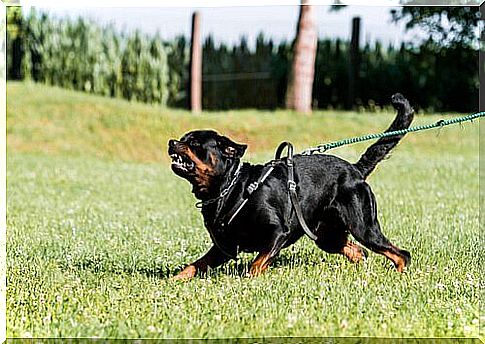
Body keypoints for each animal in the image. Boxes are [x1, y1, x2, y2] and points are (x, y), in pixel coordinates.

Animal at [168, 92, 414, 280]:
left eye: (194, 143)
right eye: (182, 138)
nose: (172, 142)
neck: (230, 188)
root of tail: (356, 170)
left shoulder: (278, 233)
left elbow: (256, 264)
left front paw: (248, 280)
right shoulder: (223, 247)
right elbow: (195, 265)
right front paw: (173, 280)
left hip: (363, 227)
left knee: (401, 253)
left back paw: (401, 275)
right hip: (327, 236)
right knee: (358, 251)